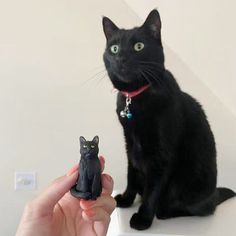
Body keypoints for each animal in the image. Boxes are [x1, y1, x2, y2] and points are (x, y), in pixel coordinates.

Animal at [102, 9, 235, 230]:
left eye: (139, 46)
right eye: (114, 48)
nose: (120, 58)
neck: (136, 97)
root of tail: (214, 194)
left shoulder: (162, 154)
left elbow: (153, 188)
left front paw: (143, 218)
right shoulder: (130, 143)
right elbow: (131, 174)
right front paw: (127, 199)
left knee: (203, 209)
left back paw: (164, 211)